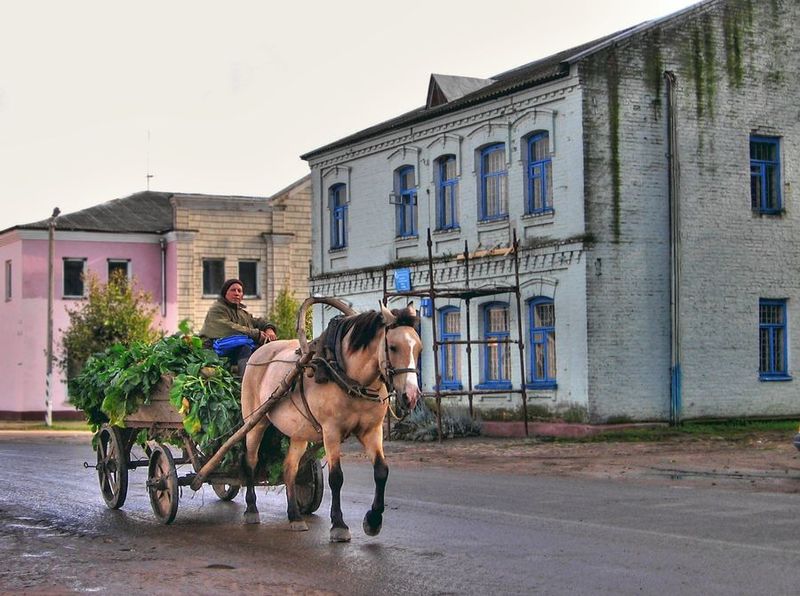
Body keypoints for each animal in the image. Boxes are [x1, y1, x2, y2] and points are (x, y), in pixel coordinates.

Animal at [239, 302, 422, 540]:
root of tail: (259, 352)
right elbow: (336, 477)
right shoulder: (331, 432)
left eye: (419, 348)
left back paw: (295, 516)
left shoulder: (372, 431)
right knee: (250, 461)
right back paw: (251, 509)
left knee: (289, 468)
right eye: (393, 347)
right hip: (255, 422)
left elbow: (382, 471)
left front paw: (373, 520)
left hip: (299, 432)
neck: (347, 377)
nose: (411, 396)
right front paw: (339, 524)